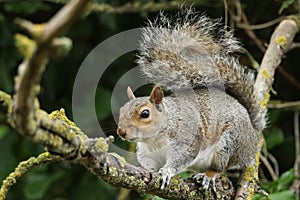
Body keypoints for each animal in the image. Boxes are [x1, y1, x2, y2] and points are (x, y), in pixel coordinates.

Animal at [116, 9, 264, 191]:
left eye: (145, 114)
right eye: (121, 110)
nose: (121, 131)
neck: (154, 139)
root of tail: (253, 135)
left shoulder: (188, 138)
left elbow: (181, 159)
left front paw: (167, 172)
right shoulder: (146, 153)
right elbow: (148, 165)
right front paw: (145, 171)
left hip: (230, 142)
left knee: (221, 167)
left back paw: (209, 175)